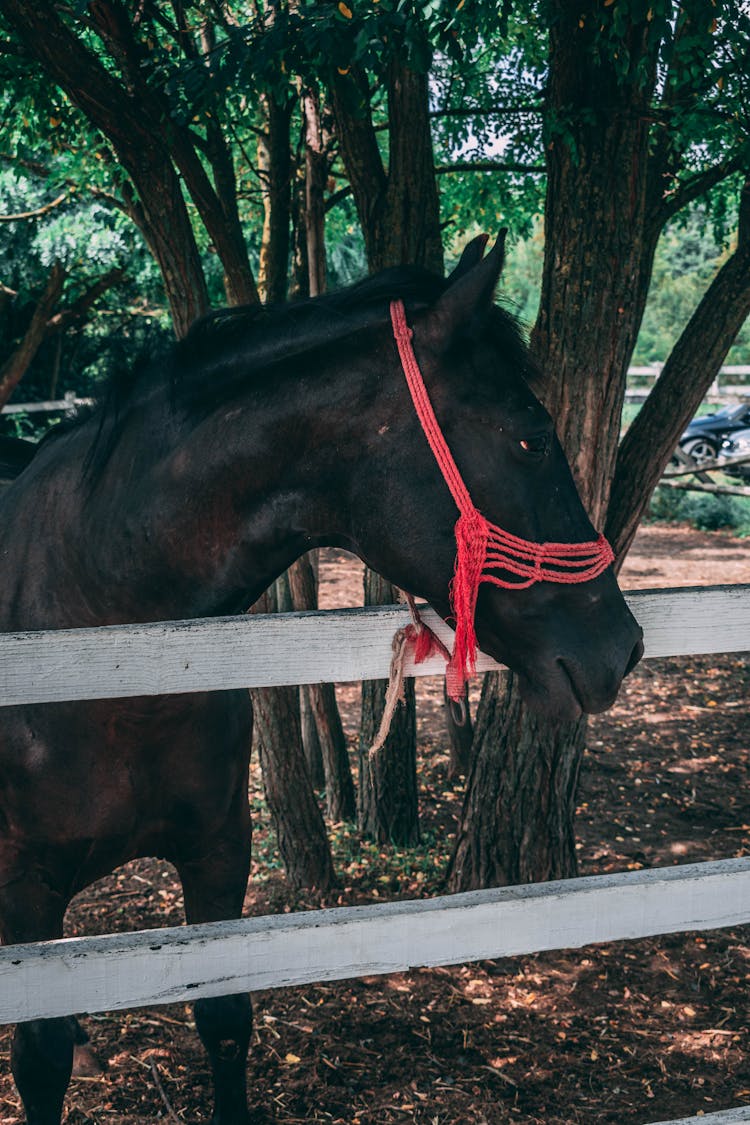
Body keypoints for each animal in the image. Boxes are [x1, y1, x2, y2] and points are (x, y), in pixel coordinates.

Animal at [1, 232, 647, 1120]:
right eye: (530, 439)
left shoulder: (220, 852)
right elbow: (39, 1058)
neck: (104, 649)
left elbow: (224, 1018)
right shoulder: (27, 892)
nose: (622, 645)